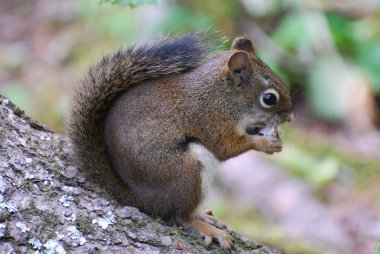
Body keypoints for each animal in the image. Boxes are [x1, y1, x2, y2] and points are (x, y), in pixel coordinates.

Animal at [68, 34, 292, 250]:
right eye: (269, 98)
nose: (290, 117)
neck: (221, 95)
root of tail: (142, 198)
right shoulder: (211, 119)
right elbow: (225, 147)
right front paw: (265, 144)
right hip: (188, 171)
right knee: (179, 215)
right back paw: (209, 229)